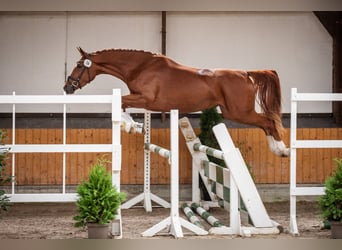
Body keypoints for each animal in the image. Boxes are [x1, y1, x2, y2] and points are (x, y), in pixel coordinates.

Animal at [63, 47, 288, 156]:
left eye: (79, 65)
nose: (67, 87)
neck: (140, 67)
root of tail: (245, 74)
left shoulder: (146, 98)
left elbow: (119, 103)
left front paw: (131, 126)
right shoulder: (140, 98)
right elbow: (122, 104)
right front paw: (135, 126)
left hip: (239, 112)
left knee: (268, 121)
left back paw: (282, 150)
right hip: (235, 112)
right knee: (266, 123)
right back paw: (278, 150)